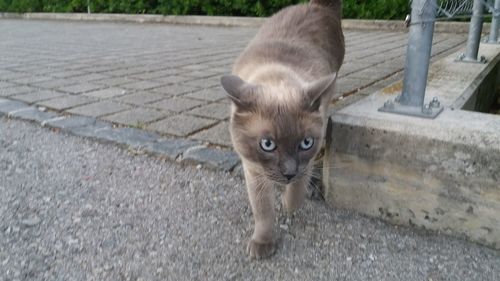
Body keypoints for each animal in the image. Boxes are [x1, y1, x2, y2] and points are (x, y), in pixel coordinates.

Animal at [222, 0, 344, 258]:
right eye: (267, 144)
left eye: (306, 143)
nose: (288, 172)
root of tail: (317, 5)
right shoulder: (253, 169)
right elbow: (263, 210)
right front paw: (263, 243)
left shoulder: (306, 162)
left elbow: (297, 191)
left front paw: (288, 205)